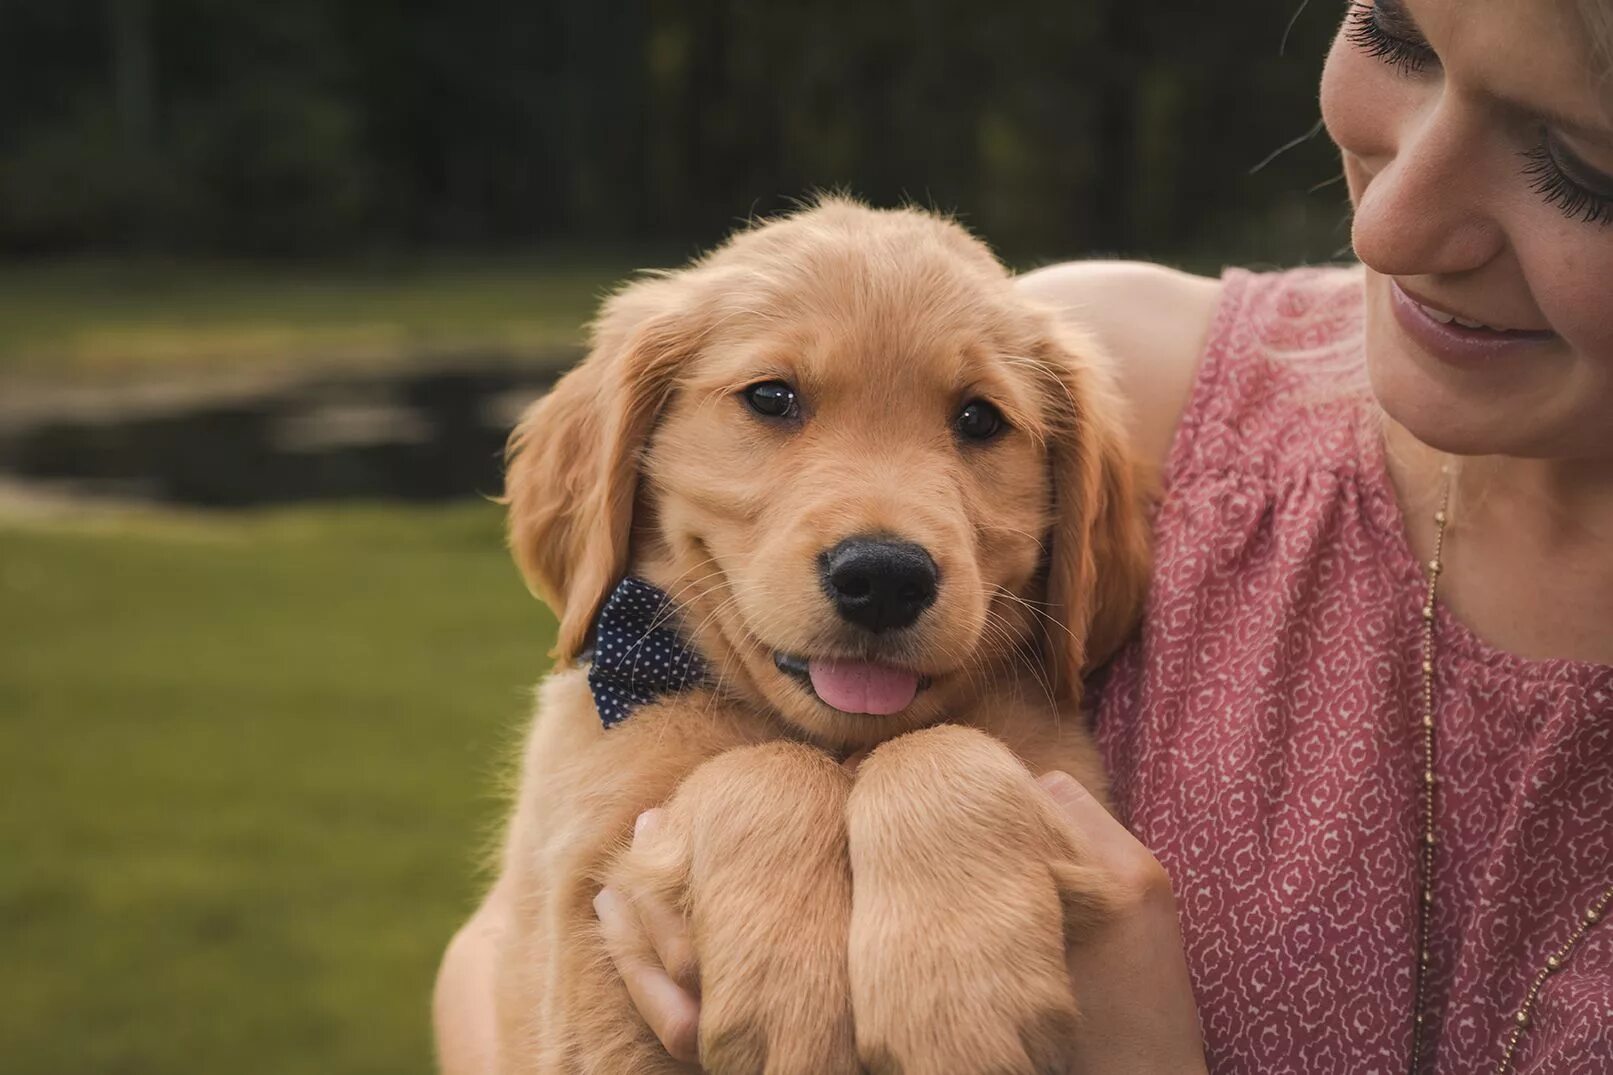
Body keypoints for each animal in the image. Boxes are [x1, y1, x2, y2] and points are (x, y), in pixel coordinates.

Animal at [487, 194, 1148, 1071]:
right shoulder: (582, 936)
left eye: (979, 418)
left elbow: (941, 746)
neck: (840, 747)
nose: (885, 577)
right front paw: (792, 1000)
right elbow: (762, 764)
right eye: (771, 398)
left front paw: (958, 1001)